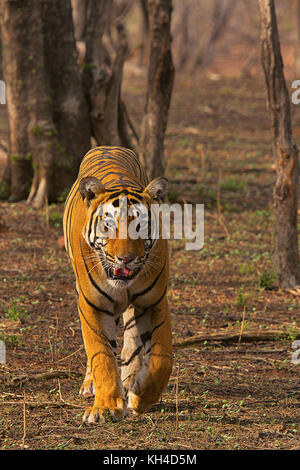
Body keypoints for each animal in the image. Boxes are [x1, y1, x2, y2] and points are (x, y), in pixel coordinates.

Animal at [62, 145, 172, 424]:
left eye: (140, 226)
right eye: (108, 225)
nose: (126, 258)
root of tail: (108, 146)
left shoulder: (154, 301)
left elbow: (162, 358)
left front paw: (141, 397)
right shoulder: (93, 304)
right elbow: (101, 354)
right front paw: (105, 407)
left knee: (132, 340)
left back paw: (131, 380)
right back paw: (92, 385)